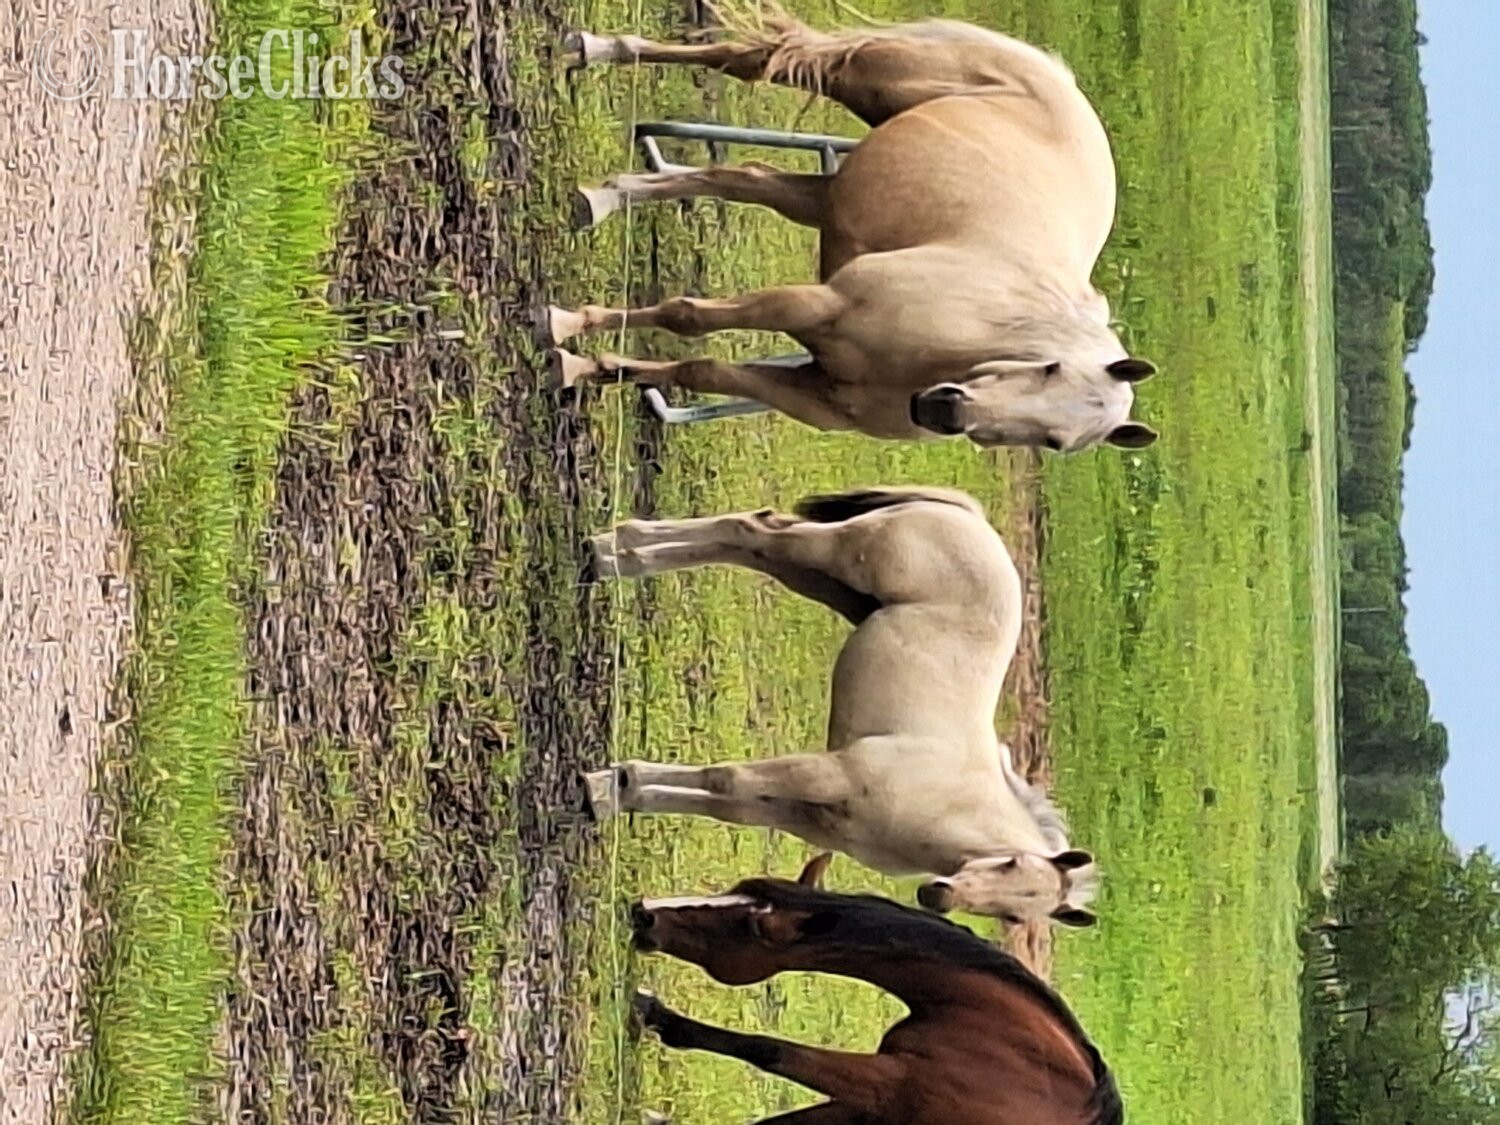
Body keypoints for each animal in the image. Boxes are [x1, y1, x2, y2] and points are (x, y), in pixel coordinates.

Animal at [544, 9, 1159, 454]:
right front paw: (565, 324)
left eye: (1055, 442)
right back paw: (592, 49)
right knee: (745, 61)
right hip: (862, 77)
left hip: (825, 198)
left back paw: (602, 197)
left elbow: (700, 368)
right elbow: (687, 316)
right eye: (1050, 368)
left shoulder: (806, 392)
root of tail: (1057, 75)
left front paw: (587, 366)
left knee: (738, 176)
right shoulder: (814, 304)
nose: (944, 410)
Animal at [584, 486, 1098, 928]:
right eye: (1010, 863)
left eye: (1015, 915)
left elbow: (726, 804)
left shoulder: (806, 817)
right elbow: (724, 777)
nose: (938, 895)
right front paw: (603, 787)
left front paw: (621, 786)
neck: (947, 796)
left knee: (748, 543)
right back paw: (612, 554)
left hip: (820, 580)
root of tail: (973, 518)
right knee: (754, 531)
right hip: (837, 556)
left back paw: (617, 550)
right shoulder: (829, 772)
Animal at [628, 855, 1123, 1124]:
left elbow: (770, 1049)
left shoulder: (889, 1083)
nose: (645, 912)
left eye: (757, 927)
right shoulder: (870, 1111)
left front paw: (655, 1013)